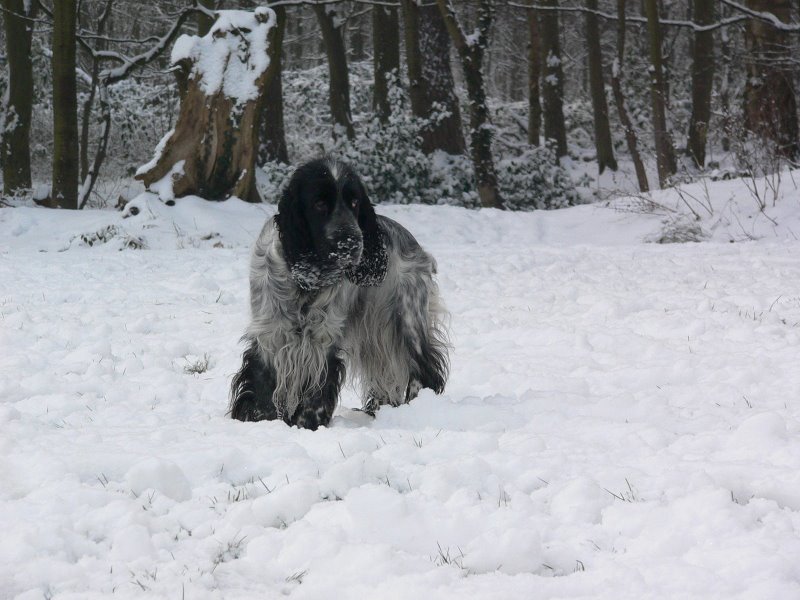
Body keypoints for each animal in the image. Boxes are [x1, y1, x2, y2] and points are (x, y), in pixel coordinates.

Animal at [230, 159, 450, 428]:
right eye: (319, 203)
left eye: (355, 202)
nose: (351, 243)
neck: (309, 281)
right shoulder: (270, 332)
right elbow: (261, 386)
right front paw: (261, 422)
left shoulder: (323, 339)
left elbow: (316, 393)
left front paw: (307, 426)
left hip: (408, 319)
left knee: (423, 369)